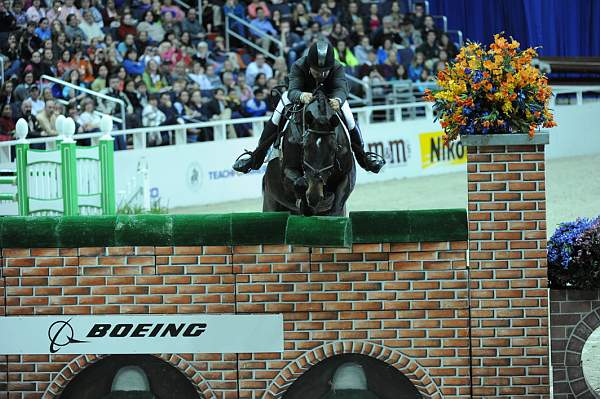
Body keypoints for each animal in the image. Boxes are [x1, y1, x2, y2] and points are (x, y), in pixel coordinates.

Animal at [262, 89, 356, 217]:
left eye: (334, 149)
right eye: (305, 147)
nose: (314, 195)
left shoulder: (346, 176)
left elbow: (337, 207)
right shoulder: (287, 171)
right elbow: (300, 183)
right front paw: (306, 206)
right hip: (271, 203)